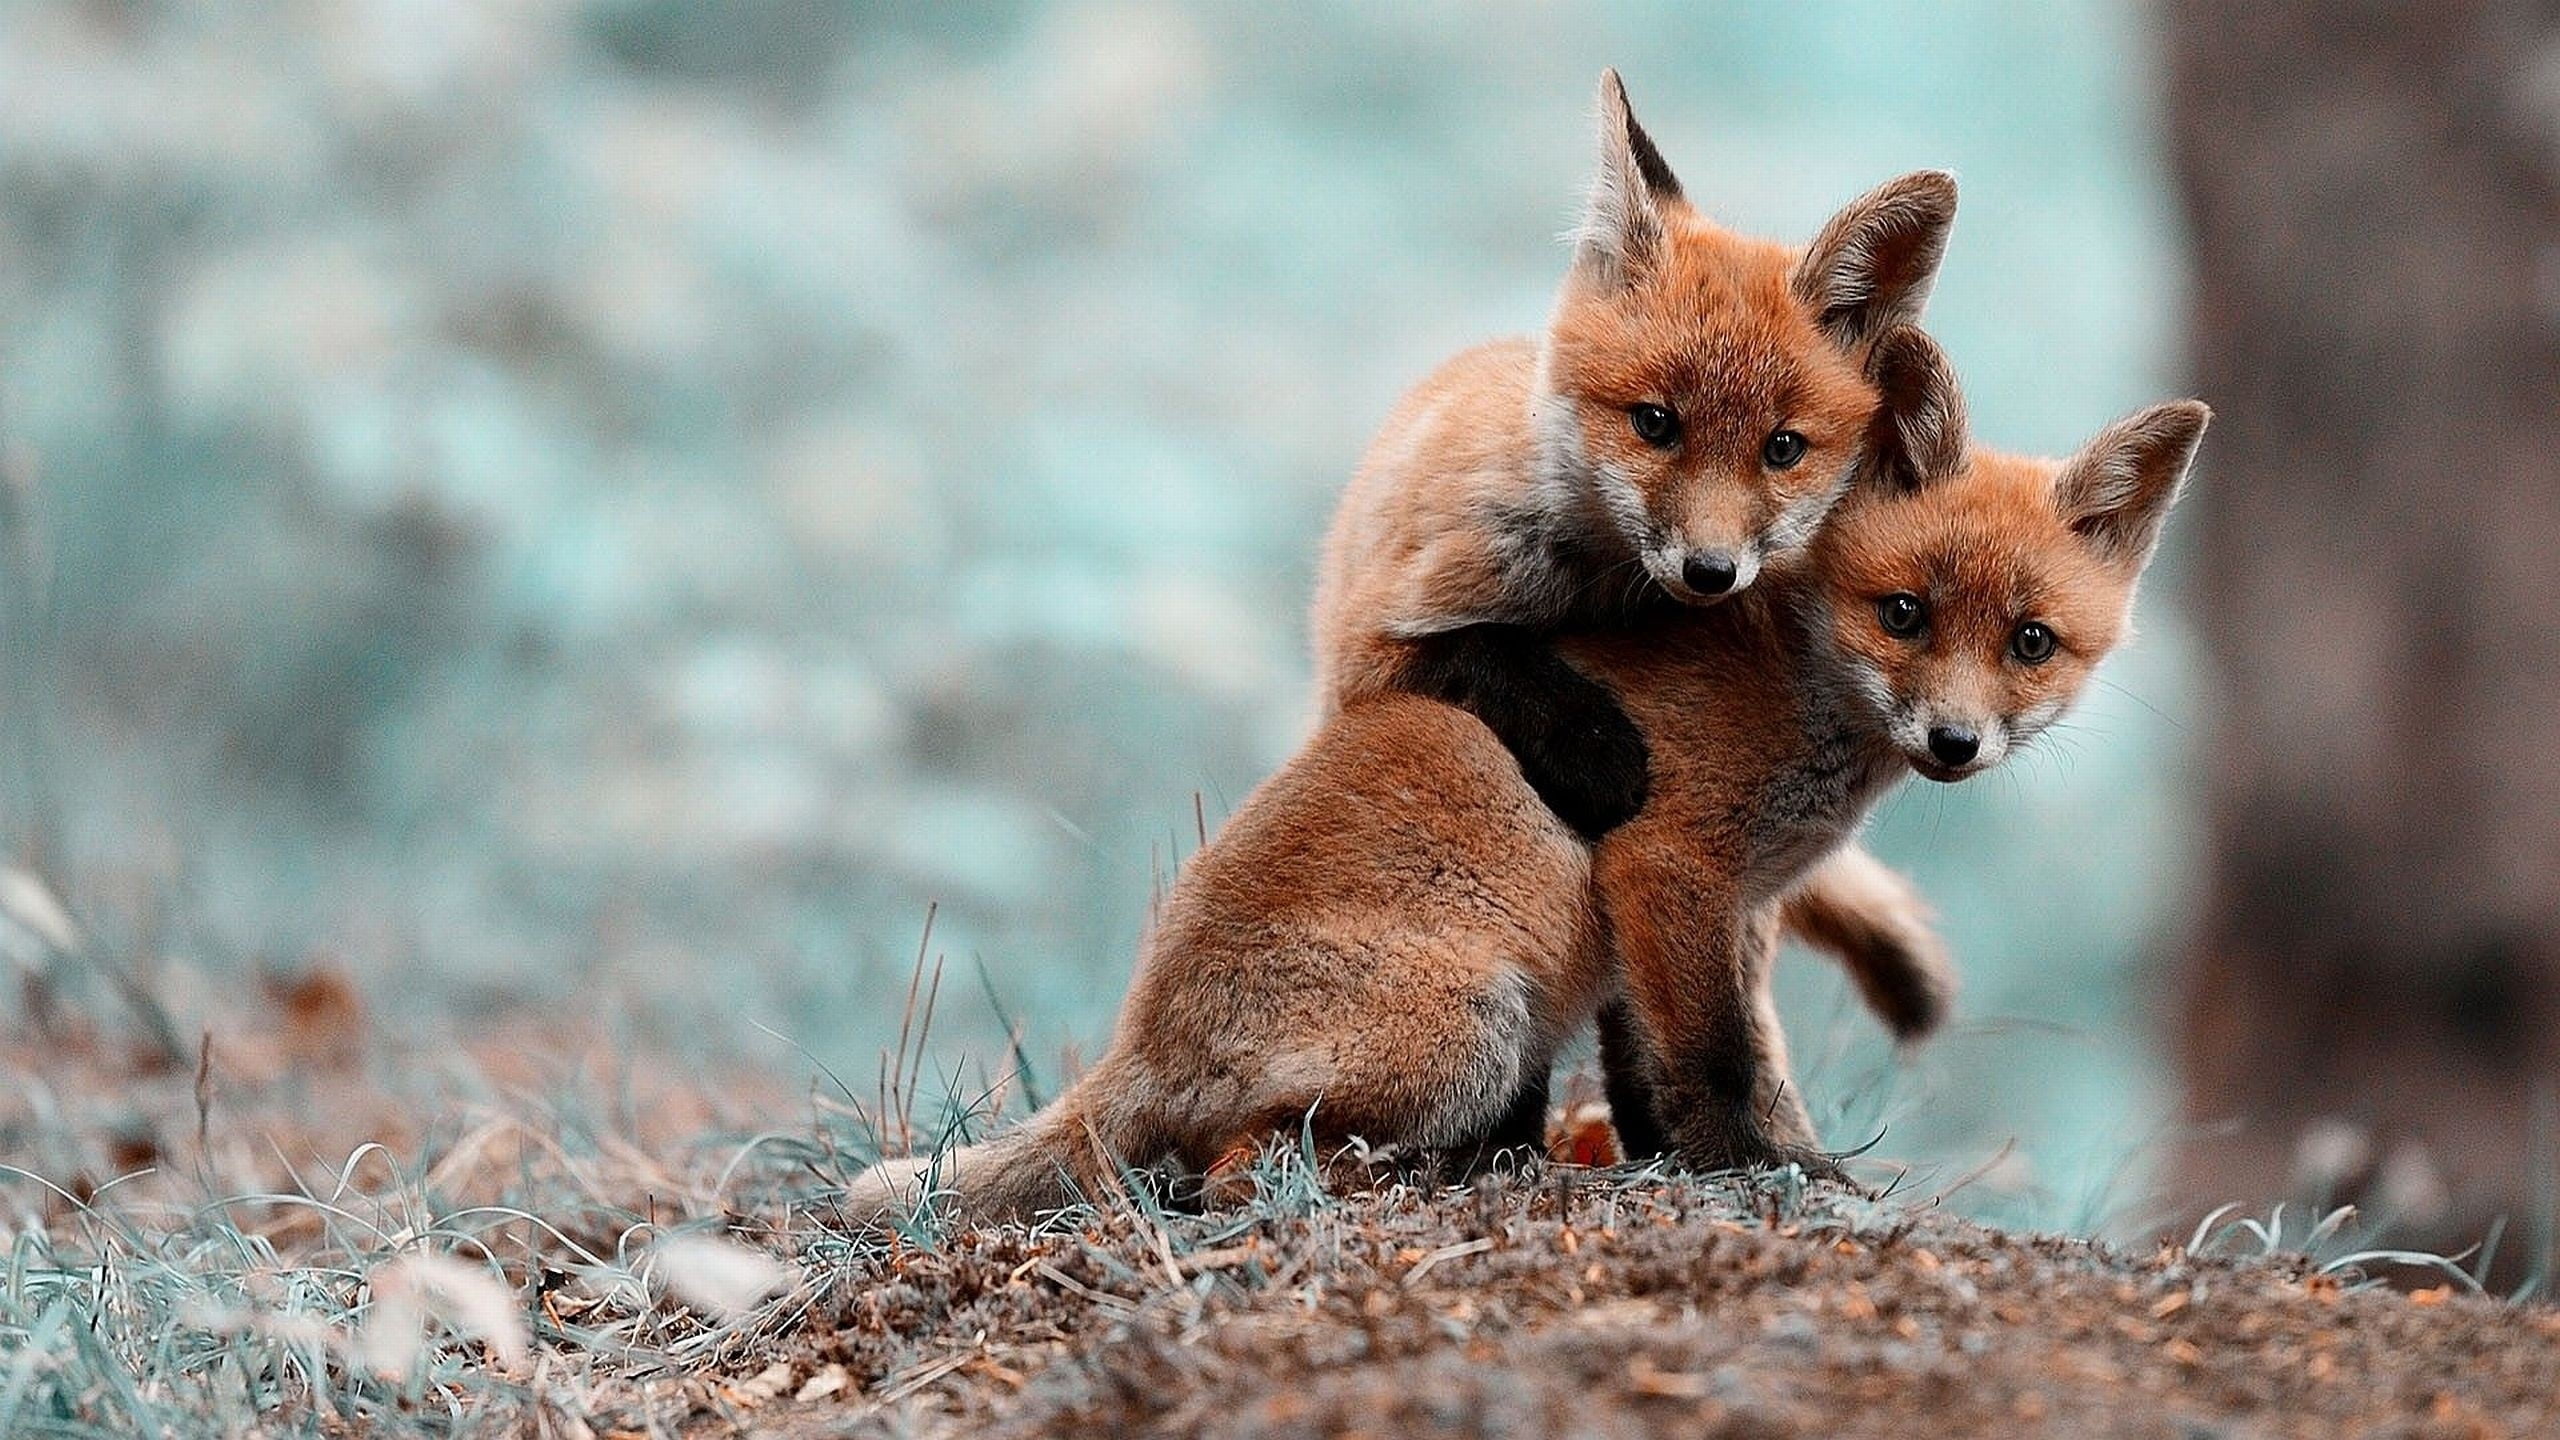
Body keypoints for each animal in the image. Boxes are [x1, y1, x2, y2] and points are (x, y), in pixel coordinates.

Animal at [846, 327, 2209, 1221]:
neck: (1795, 684)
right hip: (1474, 1026)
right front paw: (1769, 1173)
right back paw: (1407, 1176)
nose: (1955, 744)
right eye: (1905, 614)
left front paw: (1710, 1158)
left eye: (2029, 642)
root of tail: (1141, 1032)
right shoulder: (1667, 866)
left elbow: (1682, 1066)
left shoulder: (1724, 911)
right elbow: (1718, 1062)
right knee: (1227, 1173)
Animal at [1312, 70, 1963, 1047]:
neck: (1595, 590)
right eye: (1656, 424)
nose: (1711, 571)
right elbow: (1484, 653)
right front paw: (1598, 749)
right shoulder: (1378, 648)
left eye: (1783, 449)